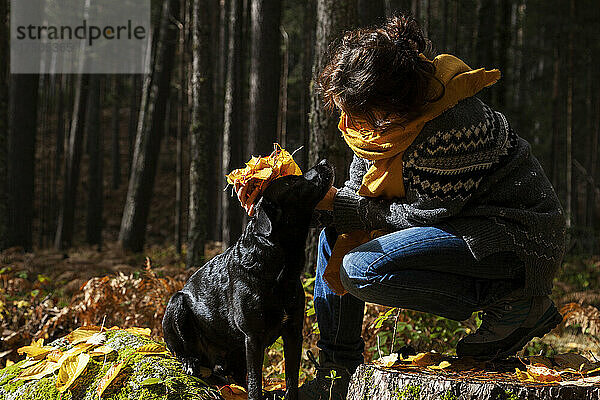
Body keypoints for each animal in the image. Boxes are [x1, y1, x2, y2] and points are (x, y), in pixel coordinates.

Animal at [162, 160, 336, 400]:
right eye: (292, 181)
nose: (324, 162)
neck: (280, 270)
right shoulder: (253, 336)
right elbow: (255, 382)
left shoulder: (293, 331)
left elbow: (291, 376)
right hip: (176, 304)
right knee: (180, 350)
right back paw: (190, 362)